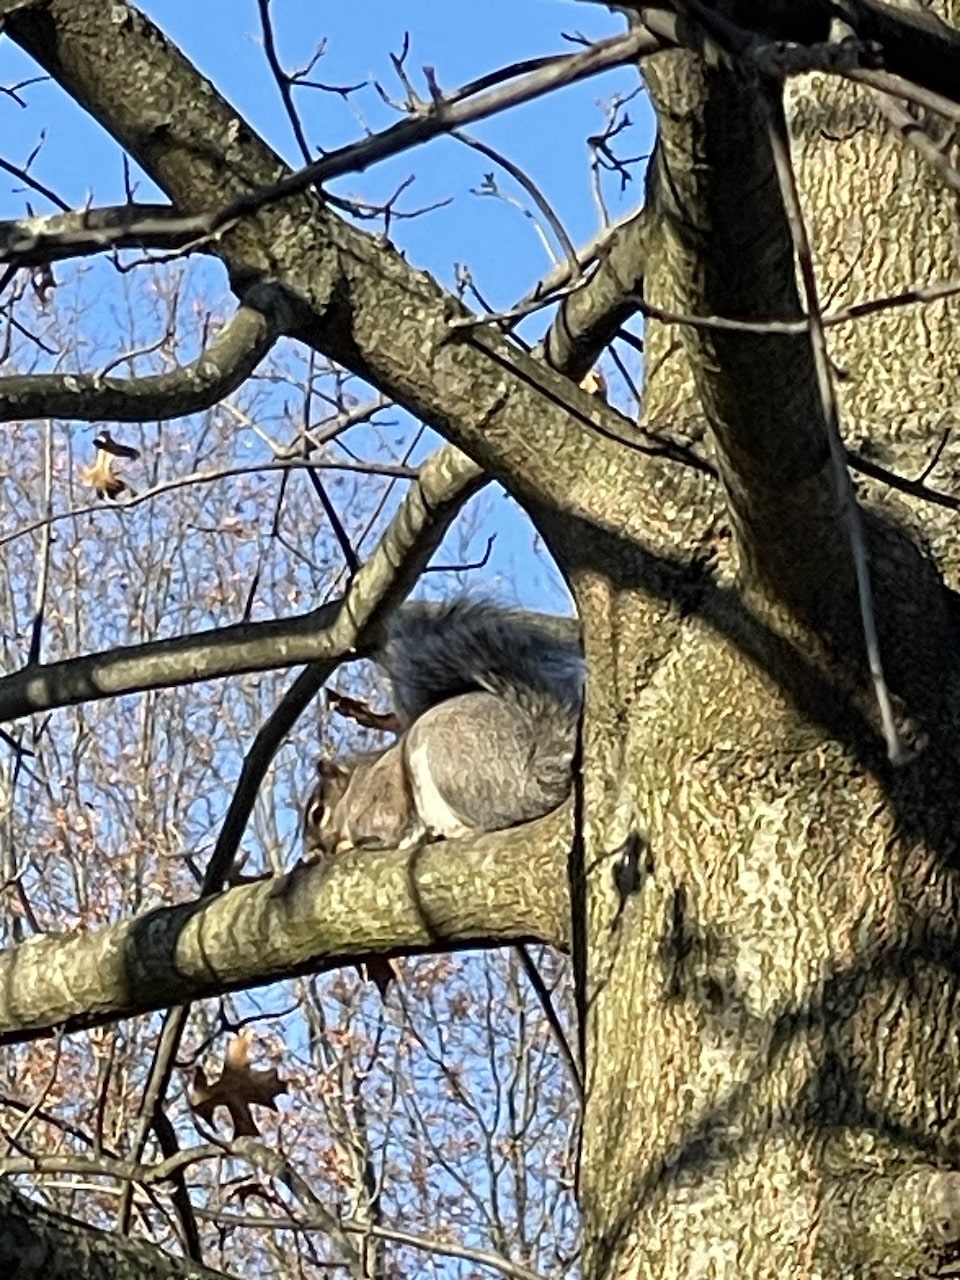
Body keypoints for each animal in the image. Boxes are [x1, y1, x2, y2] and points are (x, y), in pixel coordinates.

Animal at [304, 593, 583, 855]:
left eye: (318, 814)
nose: (310, 854)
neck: (356, 782)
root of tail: (533, 785)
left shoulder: (379, 804)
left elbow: (385, 831)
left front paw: (349, 844)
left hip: (451, 764)